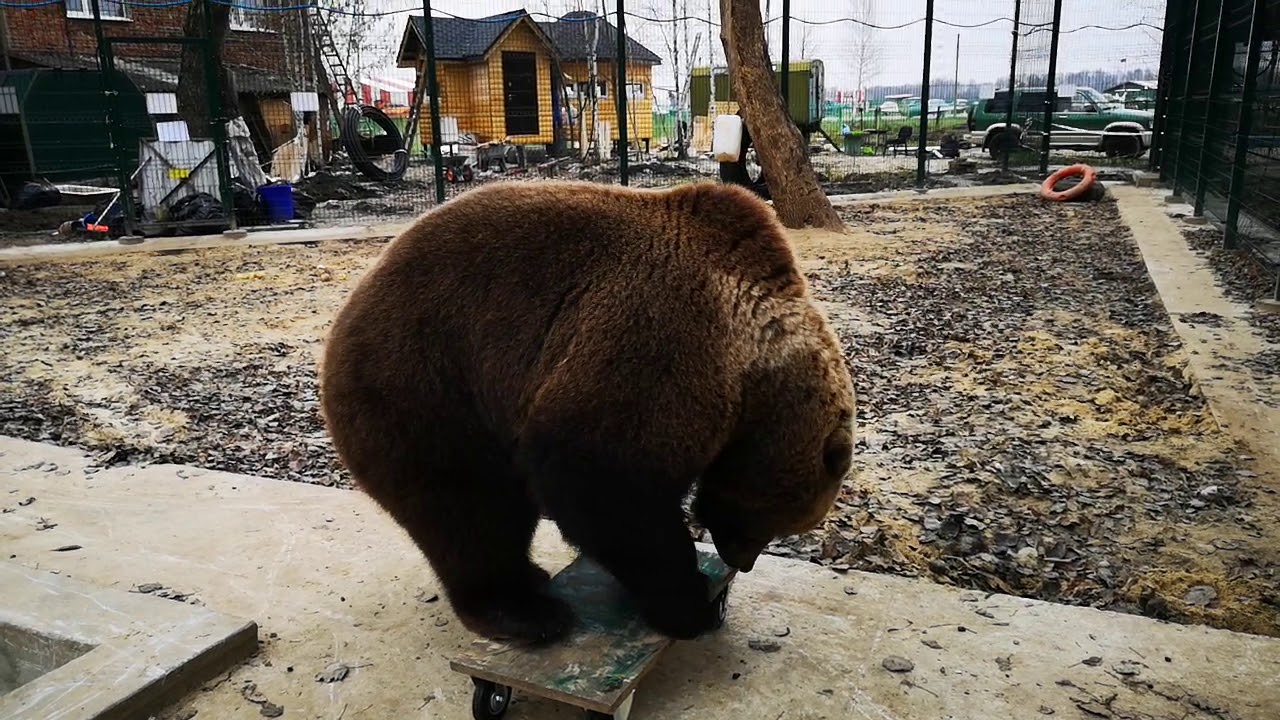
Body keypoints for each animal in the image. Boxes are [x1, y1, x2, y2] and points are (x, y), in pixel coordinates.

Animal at [319, 179, 855, 645]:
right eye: (775, 521)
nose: (741, 561)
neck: (750, 372)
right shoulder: (662, 342)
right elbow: (598, 476)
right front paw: (691, 605)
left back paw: (531, 577)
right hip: (427, 386)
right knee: (468, 510)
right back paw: (523, 611)